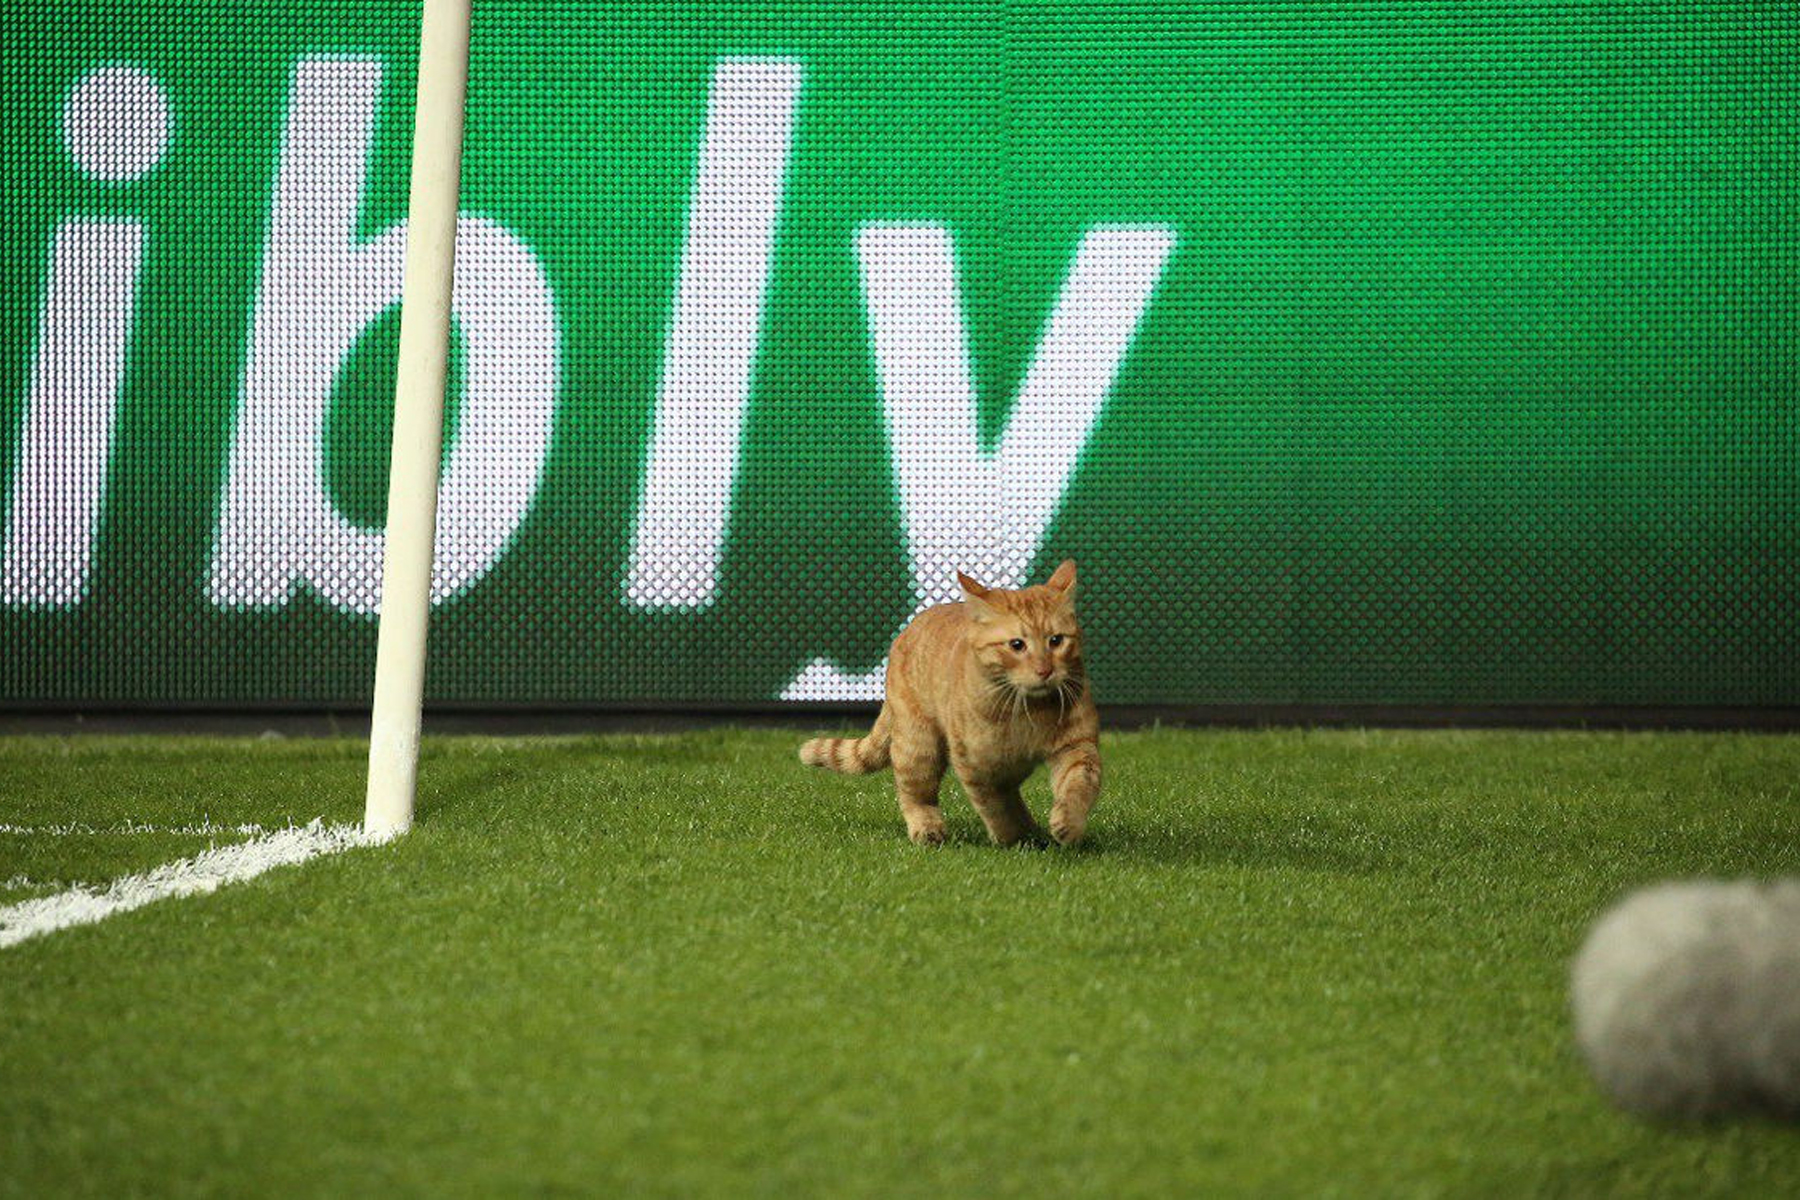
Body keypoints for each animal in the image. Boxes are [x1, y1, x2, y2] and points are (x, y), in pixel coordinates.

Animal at [799, 561, 1094, 849]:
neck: (1028, 710)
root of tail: (907, 630)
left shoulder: (1076, 745)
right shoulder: (976, 767)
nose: (1045, 671)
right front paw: (1012, 838)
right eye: (1017, 645)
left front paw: (1068, 823)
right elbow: (996, 808)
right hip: (918, 747)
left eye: (1056, 640)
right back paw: (928, 829)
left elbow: (1077, 786)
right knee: (914, 795)